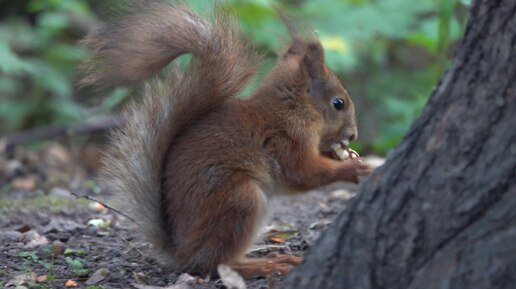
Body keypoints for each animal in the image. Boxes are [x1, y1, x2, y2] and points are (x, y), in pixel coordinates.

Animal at [79, 1, 370, 278]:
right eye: (338, 103)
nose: (353, 135)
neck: (293, 107)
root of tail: (181, 253)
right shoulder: (287, 139)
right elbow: (302, 173)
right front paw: (352, 168)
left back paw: (277, 259)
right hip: (240, 202)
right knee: (216, 264)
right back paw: (263, 266)